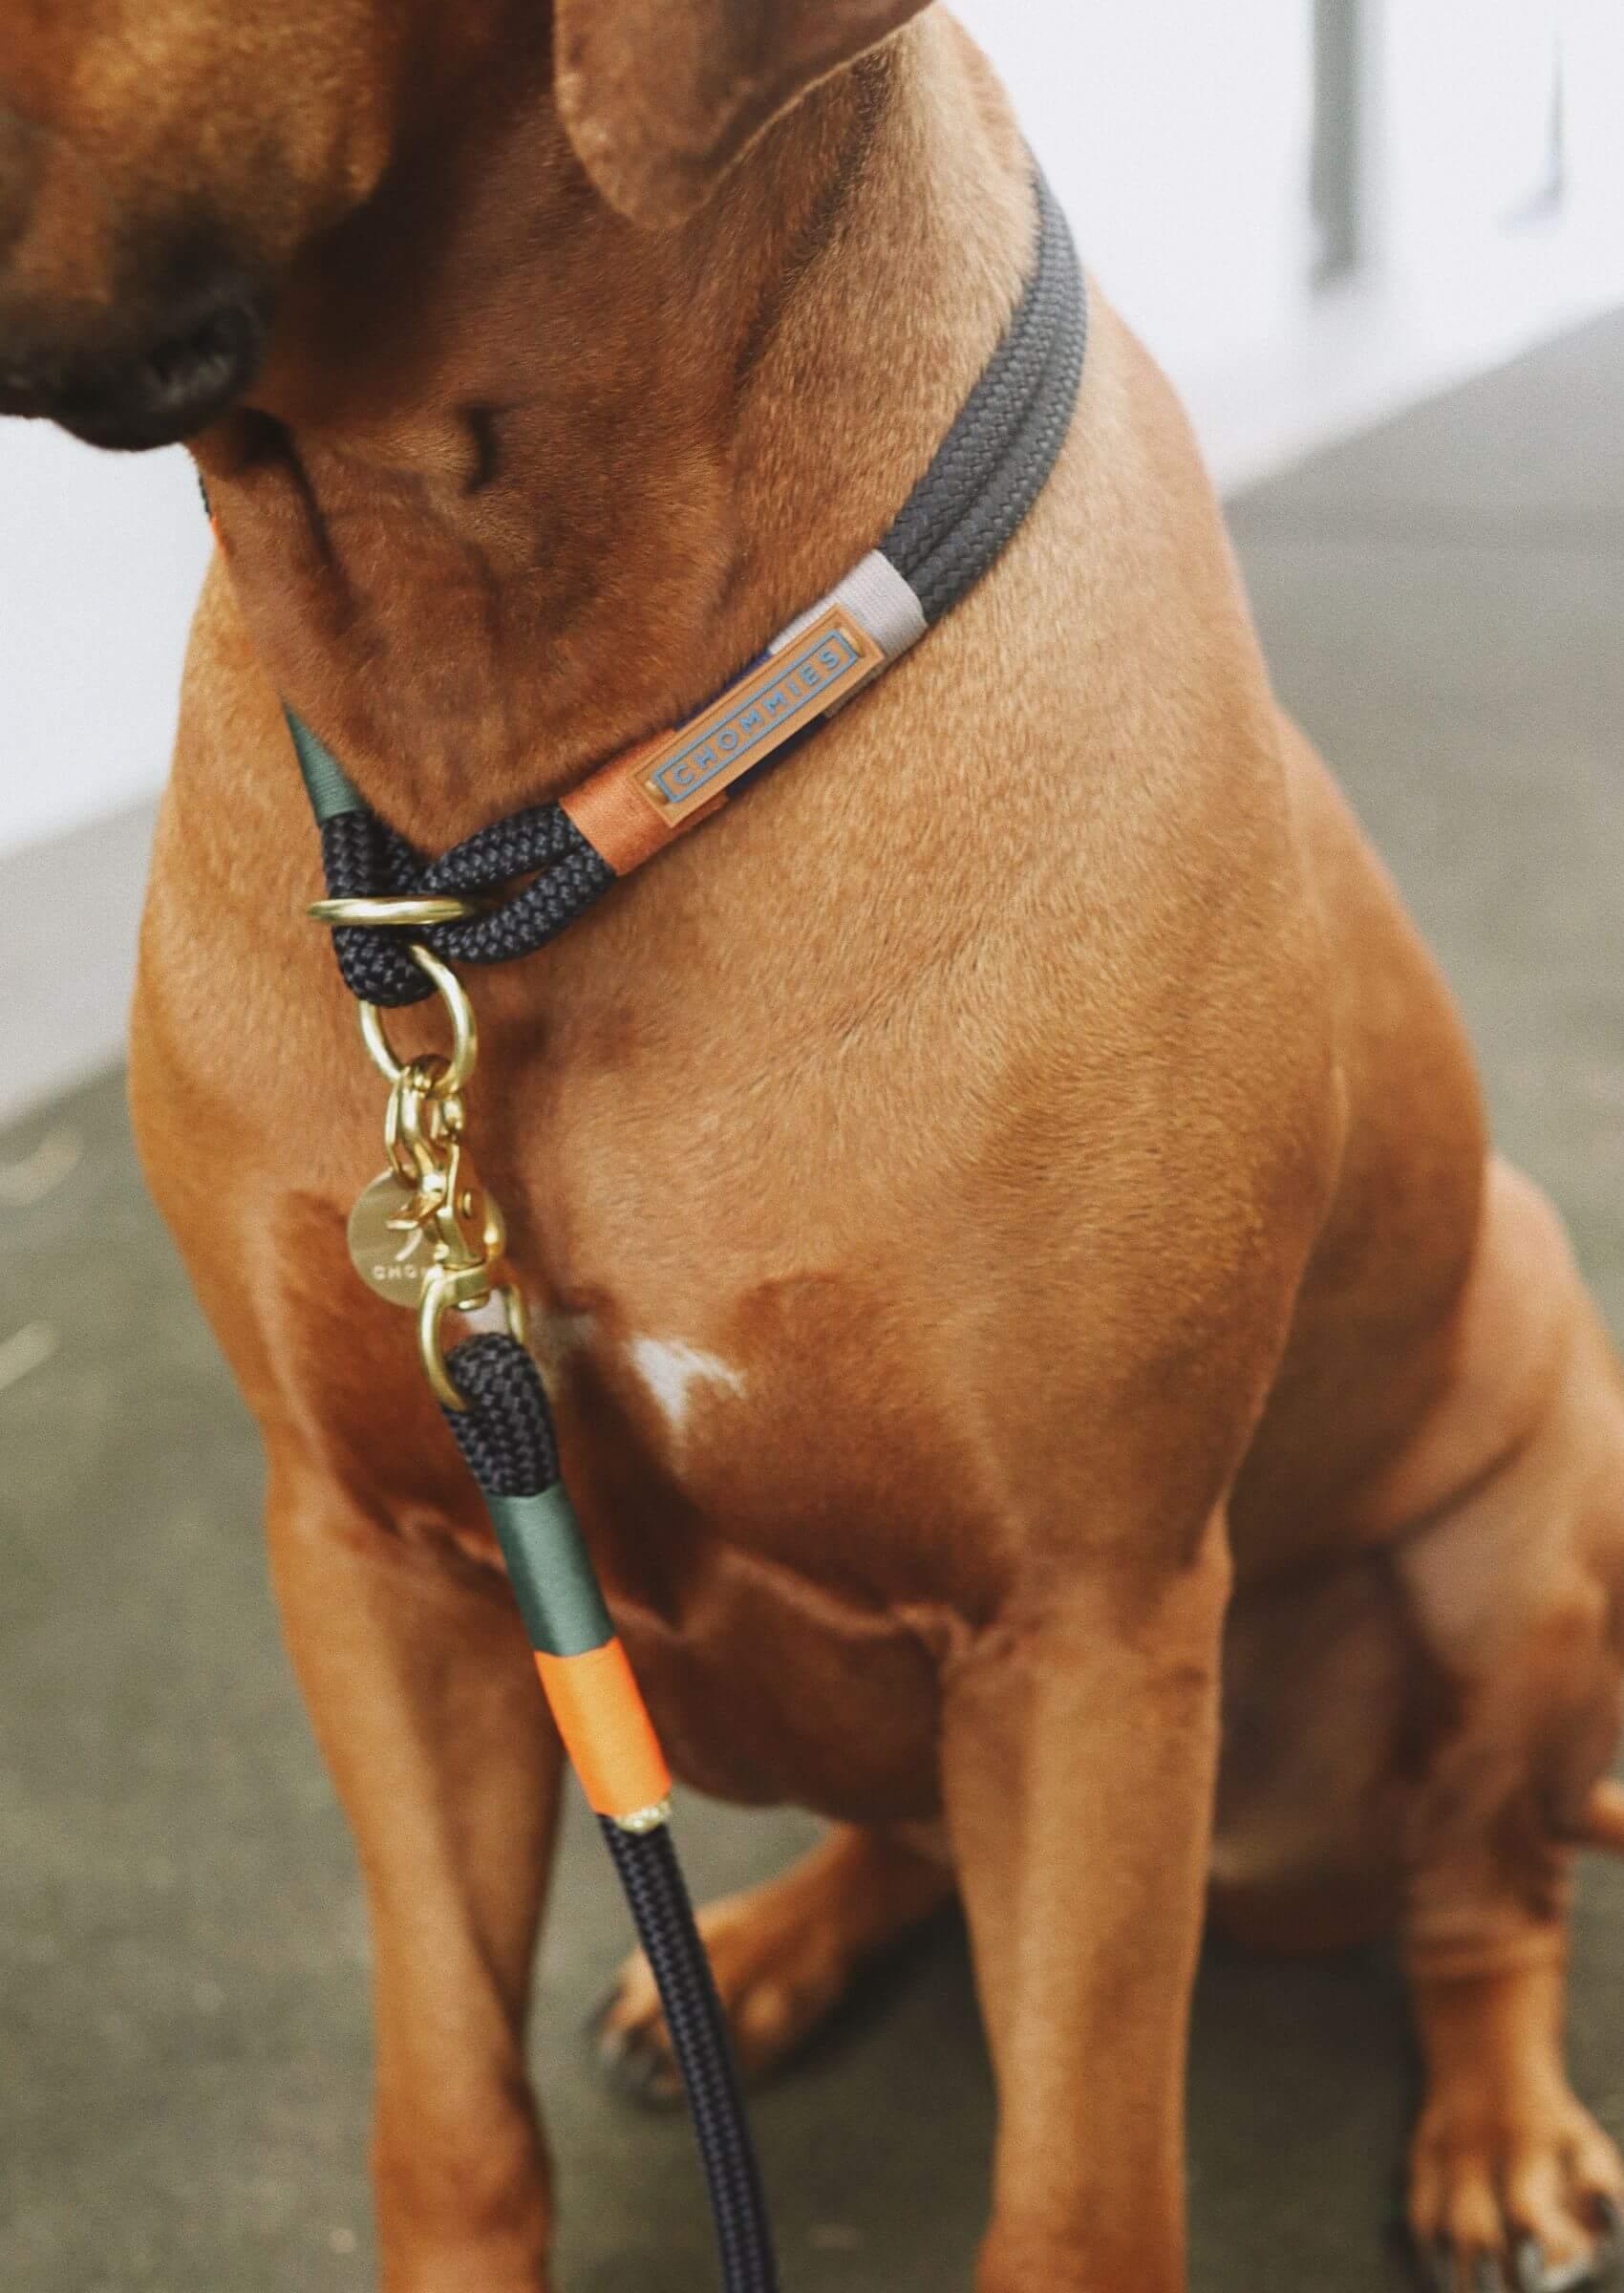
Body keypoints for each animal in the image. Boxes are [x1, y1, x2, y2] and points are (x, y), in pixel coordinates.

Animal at [6, 4, 1614, 2293]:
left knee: (1489, 1897)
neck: (542, 756)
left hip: (1523, 1534)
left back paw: (1501, 2138)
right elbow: (450, 2111)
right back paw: (757, 1954)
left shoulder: (1089, 1630)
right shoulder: (373, 1556)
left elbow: (1079, 2199)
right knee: (908, 1835)